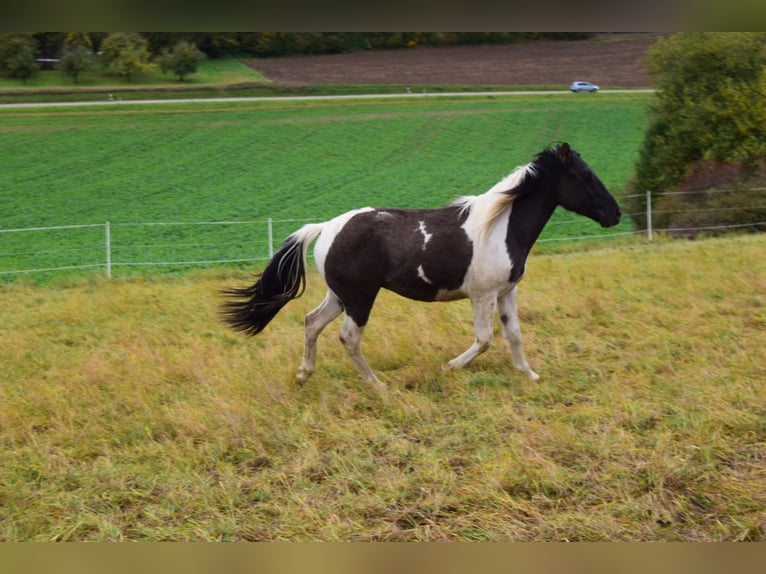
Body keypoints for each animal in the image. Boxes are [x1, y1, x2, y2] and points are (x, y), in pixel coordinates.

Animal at [224, 143, 624, 392]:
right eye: (585, 176)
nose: (615, 213)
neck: (499, 226)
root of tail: (325, 228)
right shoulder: (482, 295)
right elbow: (484, 339)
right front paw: (450, 367)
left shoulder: (507, 292)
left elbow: (513, 335)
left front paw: (530, 375)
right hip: (360, 298)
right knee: (348, 337)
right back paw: (377, 386)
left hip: (339, 295)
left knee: (311, 323)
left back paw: (303, 375)